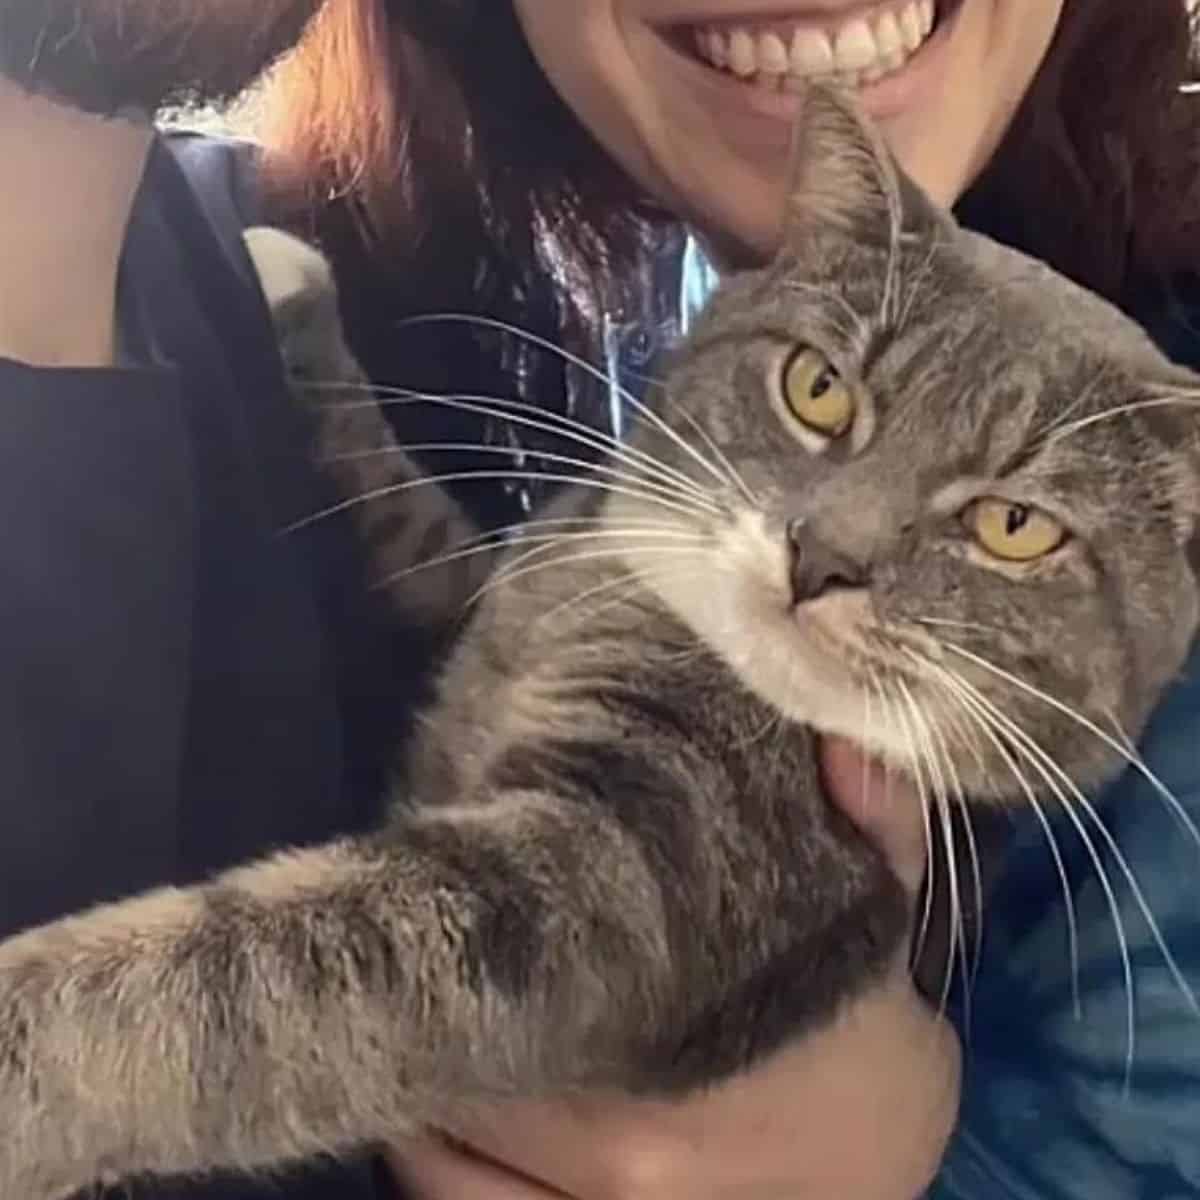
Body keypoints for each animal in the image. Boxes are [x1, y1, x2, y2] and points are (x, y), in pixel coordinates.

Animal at [2, 88, 1200, 1195]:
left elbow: (248, 978)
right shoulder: (505, 576)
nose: (822, 558)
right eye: (818, 388)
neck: (645, 609)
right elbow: (417, 529)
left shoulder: (620, 872)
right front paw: (288, 275)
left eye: (1014, 528)